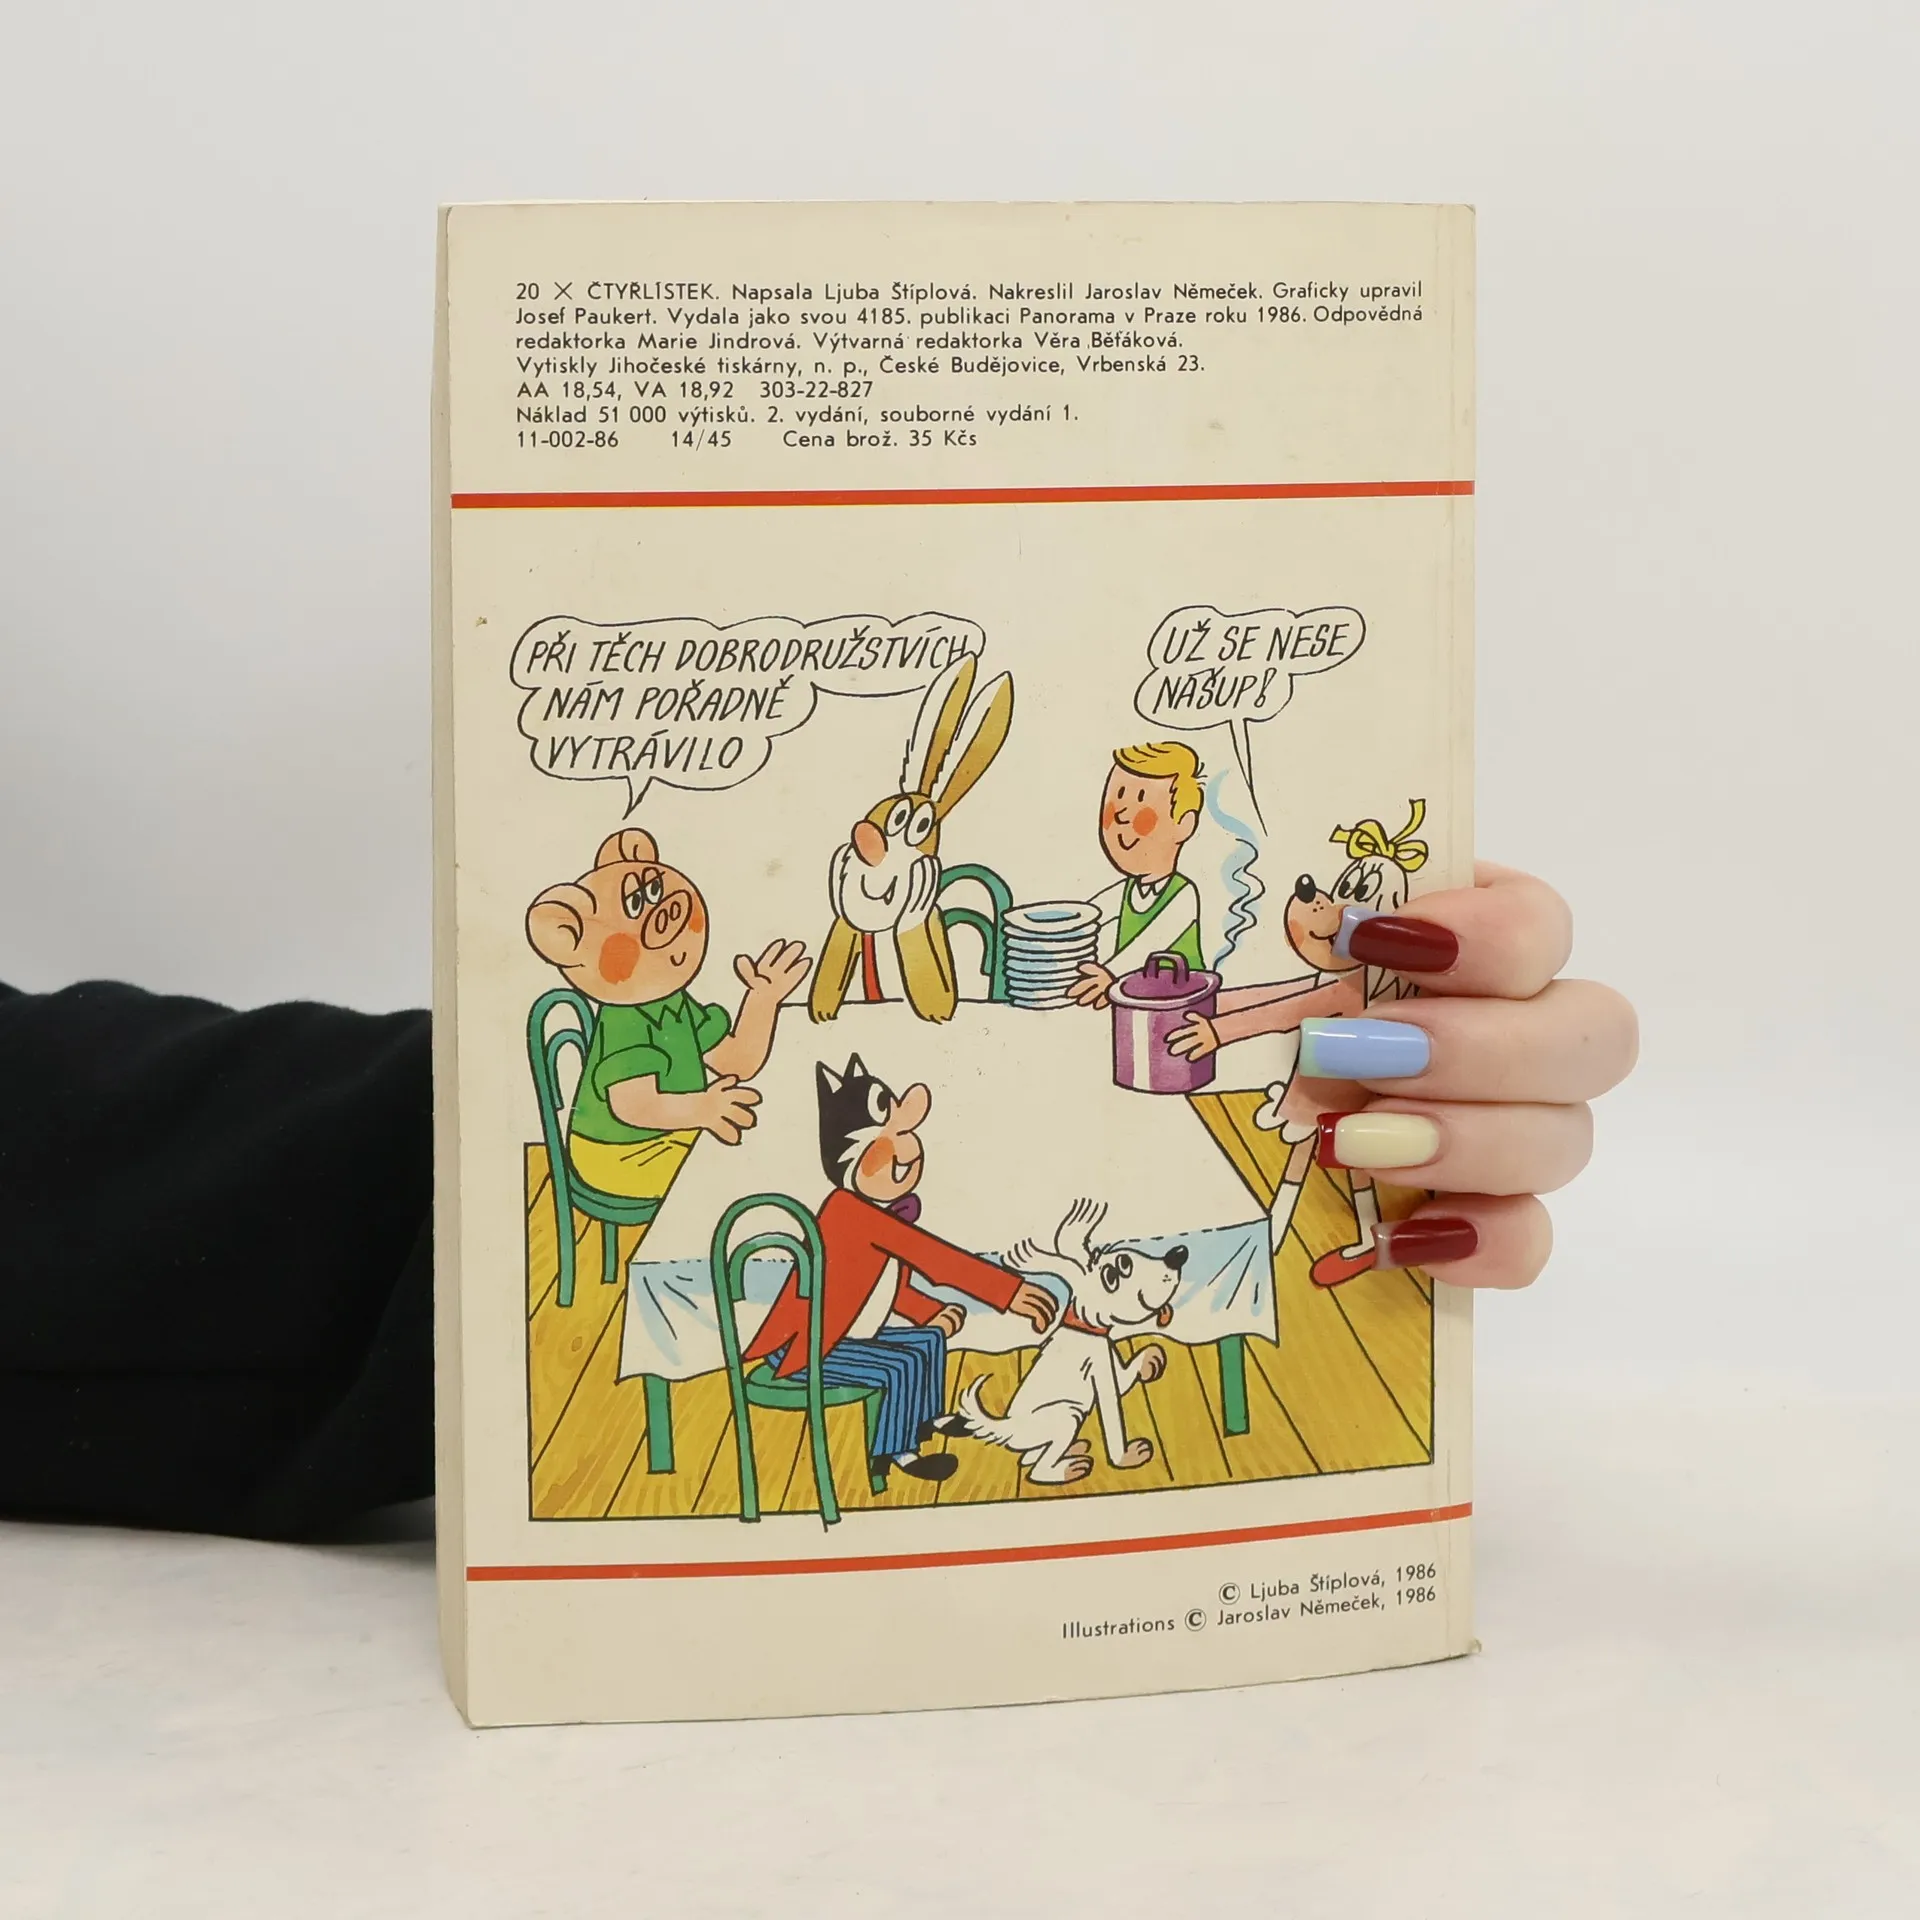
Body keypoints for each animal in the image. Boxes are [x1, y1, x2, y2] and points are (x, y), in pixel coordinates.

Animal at [938, 1199, 1187, 1485]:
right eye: (1120, 1269)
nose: (1178, 1254)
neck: (1085, 1328)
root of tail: (1008, 1428)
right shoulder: (1099, 1370)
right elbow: (1112, 1413)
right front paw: (1126, 1458)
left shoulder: (1107, 1354)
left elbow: (1125, 1378)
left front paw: (1151, 1359)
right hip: (1065, 1415)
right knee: (1036, 1469)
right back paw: (1068, 1468)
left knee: (1028, 1458)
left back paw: (1073, 1449)